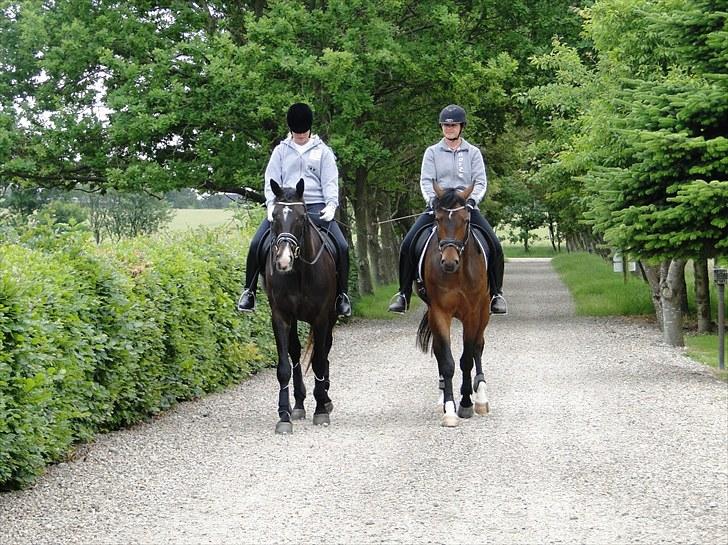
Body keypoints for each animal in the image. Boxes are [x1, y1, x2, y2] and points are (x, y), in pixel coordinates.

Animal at [264, 178, 338, 434]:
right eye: (274, 216)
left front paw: (321, 410)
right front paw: (284, 416)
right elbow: (284, 367)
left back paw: (325, 397)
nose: (283, 261)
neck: (298, 274)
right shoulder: (281, 316)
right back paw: (297, 404)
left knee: (324, 351)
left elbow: (318, 361)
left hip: (331, 316)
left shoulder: (321, 318)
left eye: (301, 217)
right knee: (296, 353)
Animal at [418, 181, 492, 428]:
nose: (449, 262)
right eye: (438, 219)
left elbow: (466, 359)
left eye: (466, 220)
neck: (457, 274)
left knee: (478, 346)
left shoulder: (472, 313)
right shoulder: (439, 312)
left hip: (485, 312)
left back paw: (481, 397)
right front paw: (449, 408)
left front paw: (467, 402)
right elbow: (447, 361)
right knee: (440, 352)